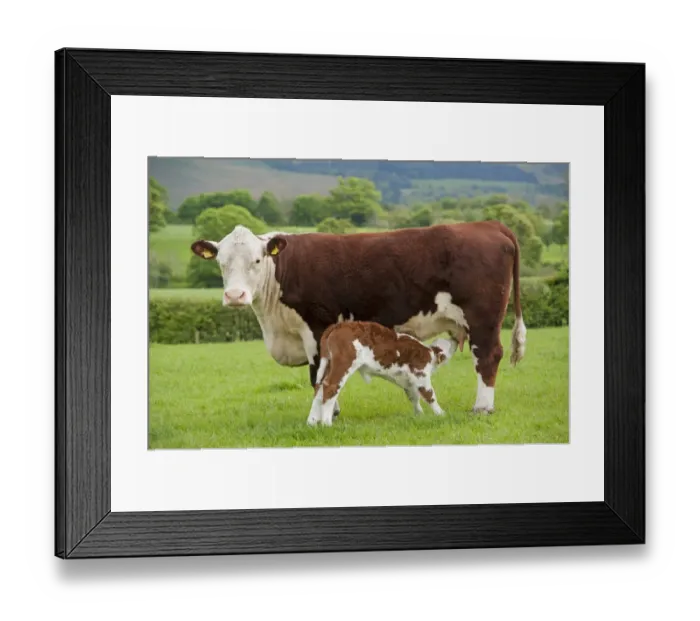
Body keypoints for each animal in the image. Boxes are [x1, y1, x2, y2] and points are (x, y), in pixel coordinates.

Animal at [309, 320, 457, 426]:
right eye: (449, 345)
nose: (455, 338)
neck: (429, 353)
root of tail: (338, 325)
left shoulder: (409, 382)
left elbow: (414, 397)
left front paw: (419, 415)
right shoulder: (420, 374)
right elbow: (429, 395)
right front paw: (441, 414)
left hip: (328, 363)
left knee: (319, 388)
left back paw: (312, 422)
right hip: (344, 362)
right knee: (331, 387)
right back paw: (326, 423)